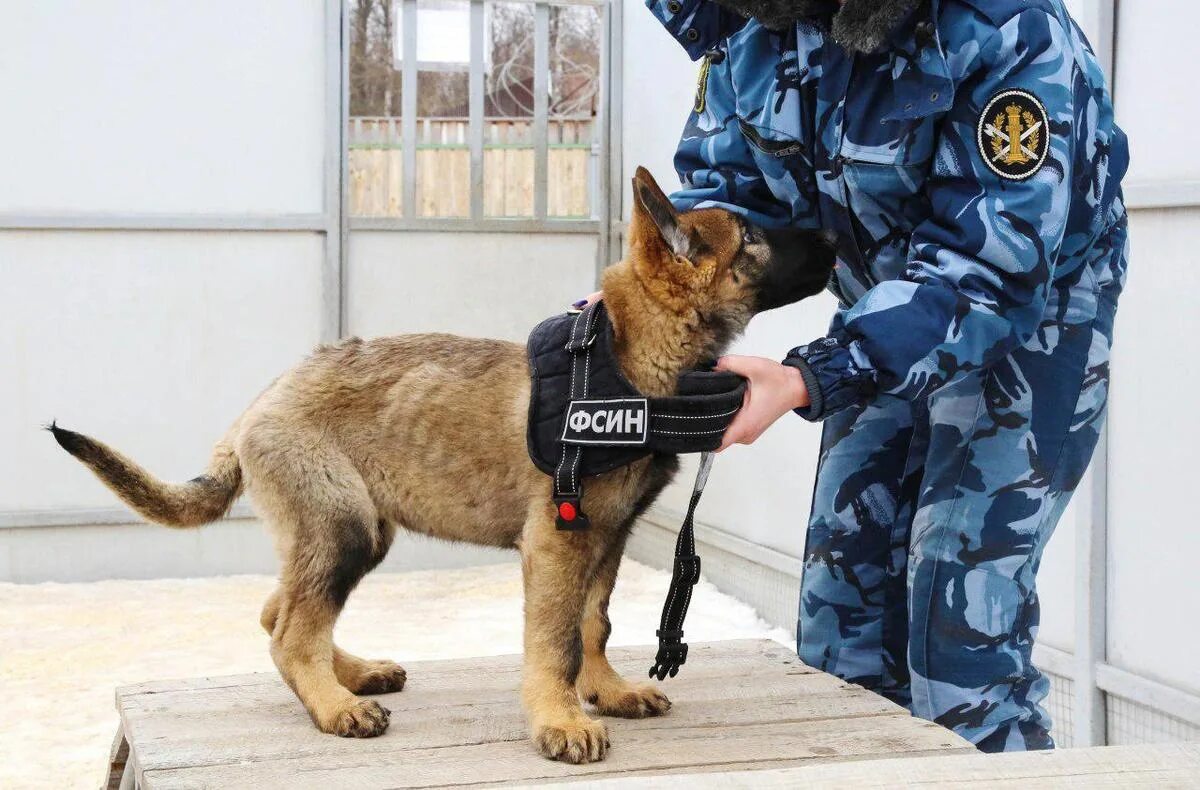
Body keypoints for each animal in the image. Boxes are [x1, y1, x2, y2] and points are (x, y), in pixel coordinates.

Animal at [49, 168, 835, 763]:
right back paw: (334, 706)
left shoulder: (607, 536)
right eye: (754, 238)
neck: (626, 358)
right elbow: (553, 641)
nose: (834, 235)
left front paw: (606, 690)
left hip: (352, 530)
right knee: (291, 633)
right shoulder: (559, 538)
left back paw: (354, 676)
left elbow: (595, 623)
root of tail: (261, 400)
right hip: (344, 527)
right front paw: (559, 719)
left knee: (281, 611)